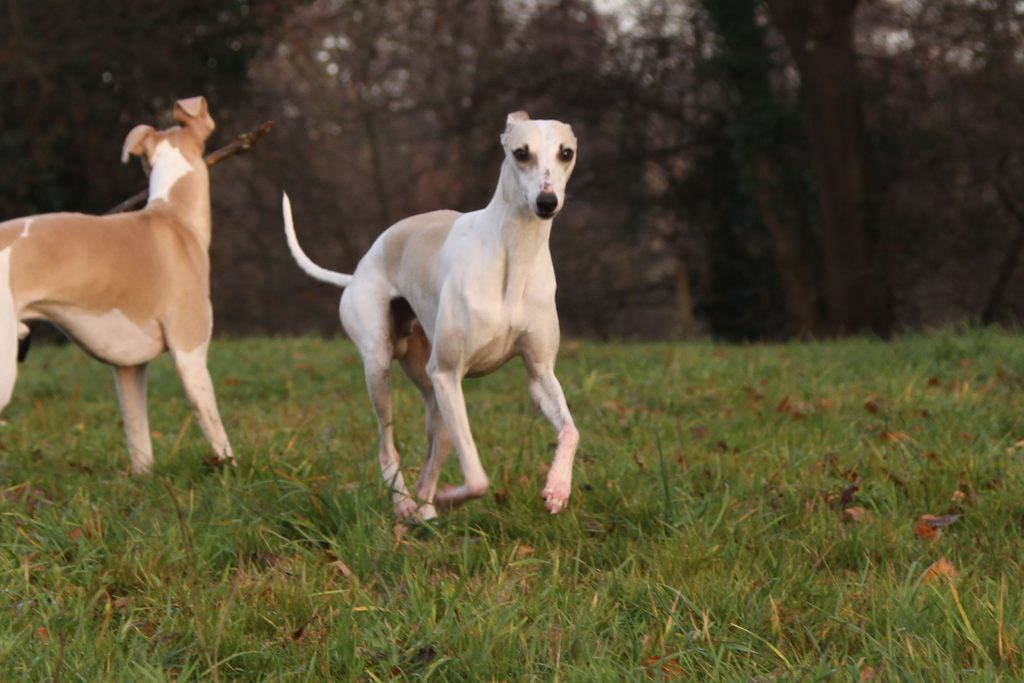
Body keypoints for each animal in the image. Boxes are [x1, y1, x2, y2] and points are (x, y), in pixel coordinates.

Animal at [0, 97, 234, 475]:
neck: (174, 218)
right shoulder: (190, 355)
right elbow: (216, 432)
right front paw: (230, 473)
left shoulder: (128, 369)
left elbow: (139, 443)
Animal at [284, 112, 581, 518]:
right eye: (521, 152)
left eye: (566, 152)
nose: (546, 201)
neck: (513, 254)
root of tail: (358, 270)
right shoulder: (447, 373)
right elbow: (477, 478)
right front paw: (447, 497)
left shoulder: (539, 373)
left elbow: (571, 430)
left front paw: (557, 487)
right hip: (381, 366)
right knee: (387, 447)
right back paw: (407, 503)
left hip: (431, 389)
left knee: (436, 446)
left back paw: (420, 509)